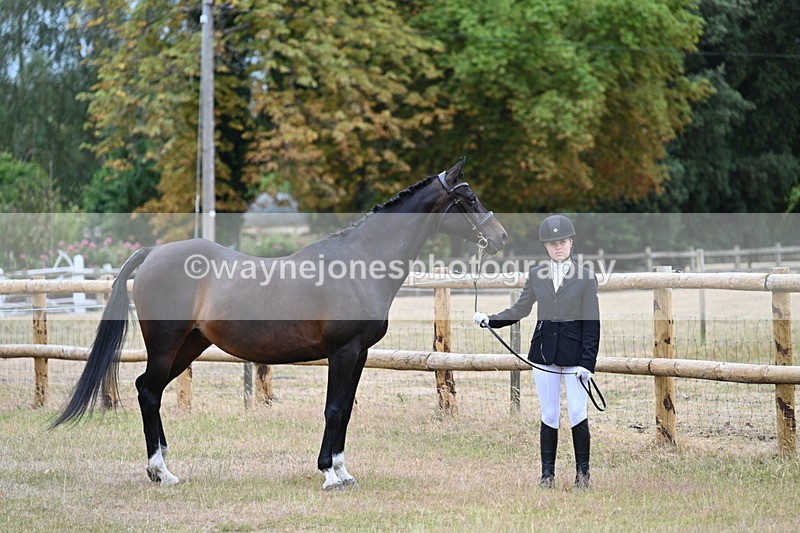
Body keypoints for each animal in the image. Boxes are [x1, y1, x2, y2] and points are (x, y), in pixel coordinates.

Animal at [52, 157, 507, 490]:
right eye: (468, 198)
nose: (500, 237)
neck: (358, 265)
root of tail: (153, 254)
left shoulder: (359, 354)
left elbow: (345, 410)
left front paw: (343, 471)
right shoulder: (342, 352)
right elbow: (334, 408)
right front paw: (328, 474)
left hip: (190, 345)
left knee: (152, 390)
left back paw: (163, 467)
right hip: (166, 345)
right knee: (148, 392)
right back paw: (160, 472)